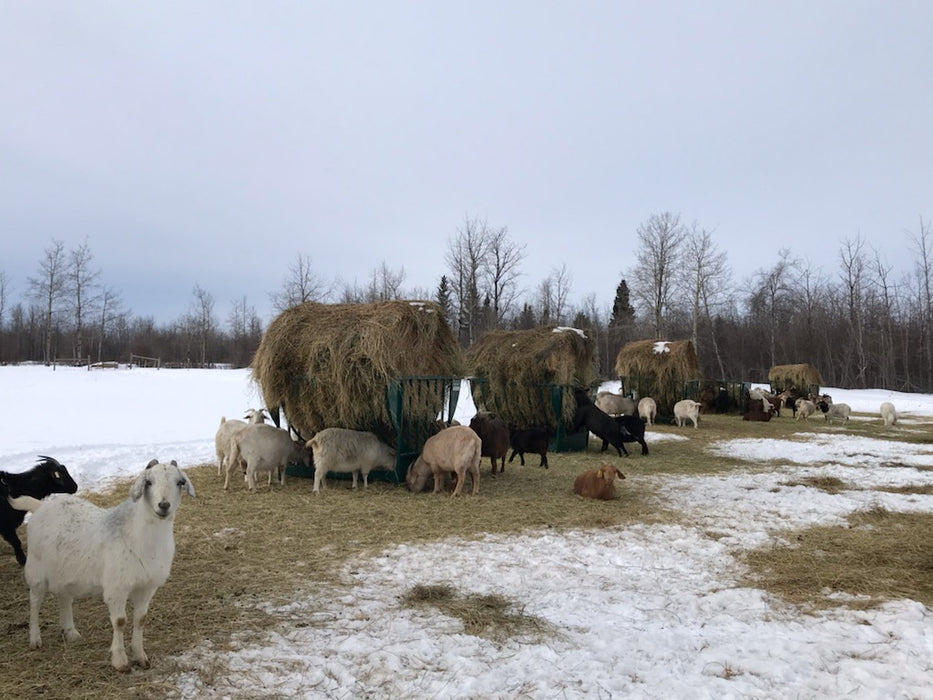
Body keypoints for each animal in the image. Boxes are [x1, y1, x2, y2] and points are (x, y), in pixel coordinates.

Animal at [8, 459, 194, 671]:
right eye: (149, 482)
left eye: (179, 482)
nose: (163, 505)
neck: (139, 535)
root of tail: (40, 506)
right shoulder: (117, 587)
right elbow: (120, 622)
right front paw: (120, 661)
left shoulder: (147, 586)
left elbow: (141, 619)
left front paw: (141, 656)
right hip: (36, 570)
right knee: (35, 602)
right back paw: (35, 638)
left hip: (64, 570)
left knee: (64, 597)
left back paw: (71, 632)